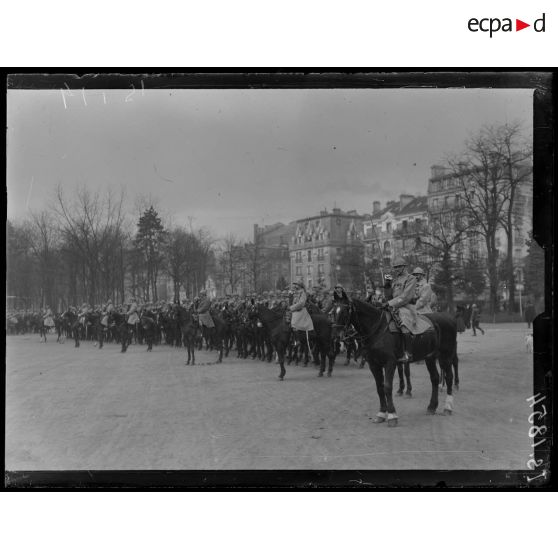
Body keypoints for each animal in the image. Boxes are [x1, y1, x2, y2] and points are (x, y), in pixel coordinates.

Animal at [332, 302, 460, 428]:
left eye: (344, 312)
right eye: (333, 311)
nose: (336, 336)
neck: (377, 329)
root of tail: (449, 318)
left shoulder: (390, 363)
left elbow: (387, 387)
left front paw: (392, 415)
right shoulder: (374, 365)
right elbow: (379, 388)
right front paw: (381, 414)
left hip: (445, 356)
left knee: (449, 377)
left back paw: (447, 407)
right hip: (430, 358)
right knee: (435, 378)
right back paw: (432, 406)